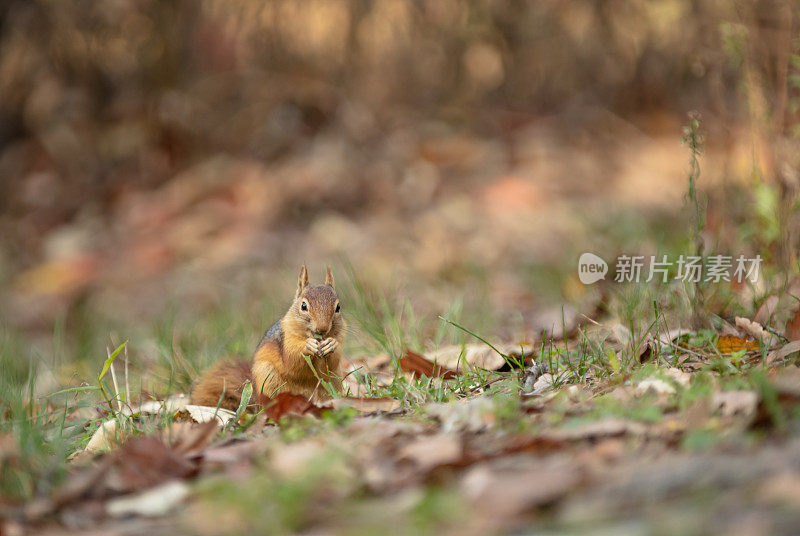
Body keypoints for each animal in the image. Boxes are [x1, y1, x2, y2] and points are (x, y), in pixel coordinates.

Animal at [193, 266, 346, 410]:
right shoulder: (286, 339)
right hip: (269, 379)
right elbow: (292, 359)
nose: (322, 329)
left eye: (338, 307)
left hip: (333, 382)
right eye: (303, 306)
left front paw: (331, 344)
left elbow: (332, 363)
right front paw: (308, 346)